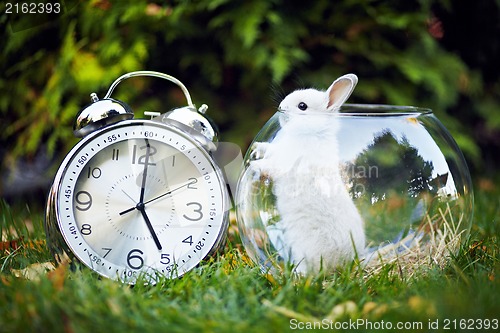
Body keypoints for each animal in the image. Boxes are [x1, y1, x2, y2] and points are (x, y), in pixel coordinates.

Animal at [249, 74, 364, 272]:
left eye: (302, 106)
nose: (281, 107)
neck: (312, 133)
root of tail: (343, 262)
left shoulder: (284, 163)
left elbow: (270, 165)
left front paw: (254, 165)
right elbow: (270, 148)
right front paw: (256, 149)